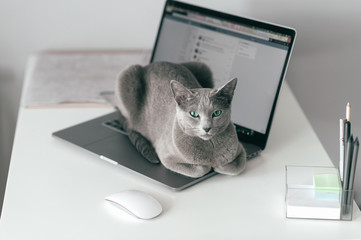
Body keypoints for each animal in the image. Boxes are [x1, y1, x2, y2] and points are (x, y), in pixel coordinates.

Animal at [114, 62, 246, 178]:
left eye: (217, 113)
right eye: (194, 114)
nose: (207, 128)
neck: (210, 146)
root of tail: (151, 64)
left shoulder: (240, 149)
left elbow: (237, 167)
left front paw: (219, 165)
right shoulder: (165, 155)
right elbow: (199, 170)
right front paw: (209, 167)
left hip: (203, 67)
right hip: (127, 76)